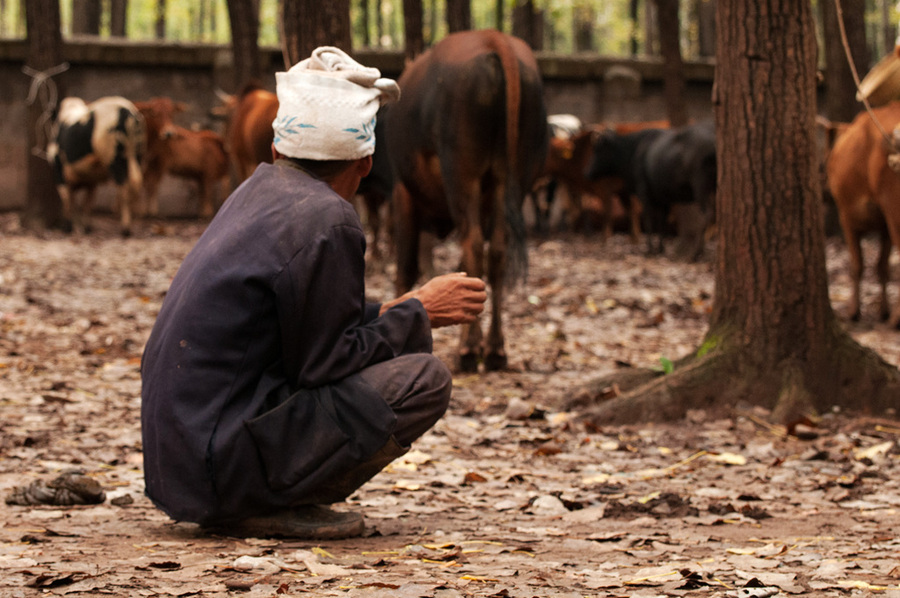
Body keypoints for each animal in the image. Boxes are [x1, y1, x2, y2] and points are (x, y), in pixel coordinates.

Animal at [48, 95, 146, 236]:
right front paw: (86, 227)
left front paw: (68, 227)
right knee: (136, 182)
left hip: (114, 157)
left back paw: (125, 230)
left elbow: (67, 198)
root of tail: (128, 111)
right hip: (136, 154)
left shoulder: (59, 169)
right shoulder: (91, 180)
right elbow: (88, 200)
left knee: (124, 187)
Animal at [382, 30, 544, 376]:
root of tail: (494, 39)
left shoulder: (403, 193)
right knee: (496, 253)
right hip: (510, 179)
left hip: (461, 177)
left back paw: (468, 350)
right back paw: (494, 349)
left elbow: (406, 267)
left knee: (472, 247)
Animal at [824, 103, 900, 328]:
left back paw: (896, 319)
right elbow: (881, 267)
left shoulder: (846, 218)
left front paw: (853, 312)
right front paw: (882, 311)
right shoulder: (883, 227)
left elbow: (856, 265)